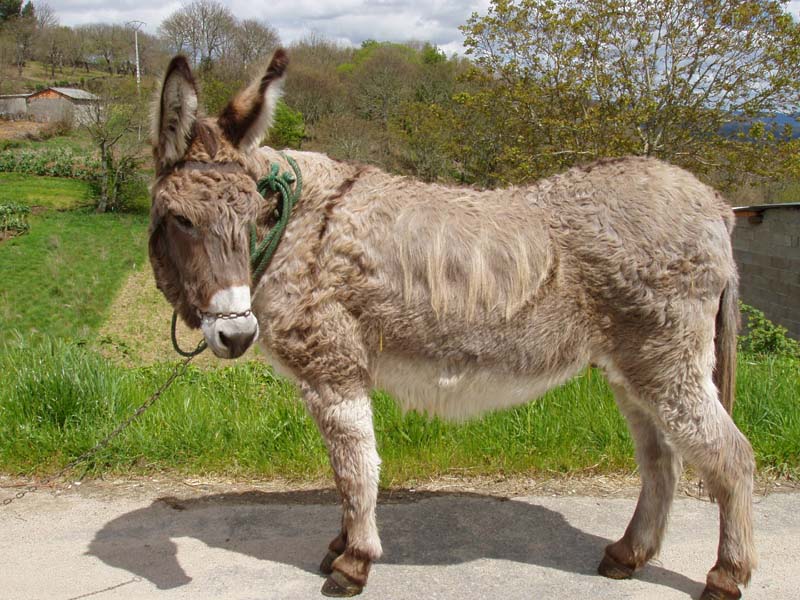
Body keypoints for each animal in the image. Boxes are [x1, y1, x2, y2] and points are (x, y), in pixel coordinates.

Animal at [148, 49, 755, 599]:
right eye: (180, 220)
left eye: (252, 216)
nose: (235, 333)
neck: (297, 224)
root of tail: (715, 204)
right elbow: (349, 468)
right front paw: (340, 546)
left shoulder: (333, 370)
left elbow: (354, 469)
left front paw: (353, 561)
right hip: (633, 368)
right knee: (661, 461)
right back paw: (628, 555)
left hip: (667, 361)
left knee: (730, 455)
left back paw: (726, 575)